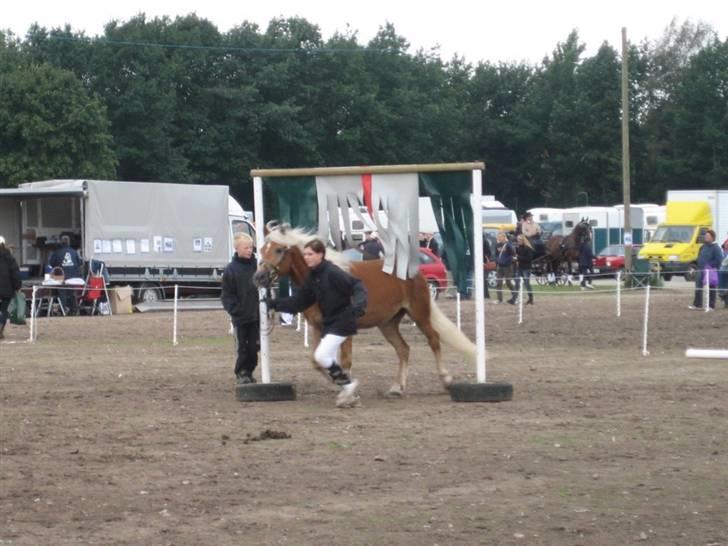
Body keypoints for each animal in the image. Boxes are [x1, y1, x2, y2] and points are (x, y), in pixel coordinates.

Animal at [252, 222, 478, 396]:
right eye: (262, 249)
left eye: (279, 250)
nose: (259, 277)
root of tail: (414, 271)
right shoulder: (317, 327)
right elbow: (316, 360)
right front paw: (336, 380)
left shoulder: (344, 330)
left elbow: (345, 361)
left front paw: (345, 384)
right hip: (388, 324)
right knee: (403, 349)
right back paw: (397, 388)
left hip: (420, 314)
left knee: (434, 340)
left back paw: (446, 379)